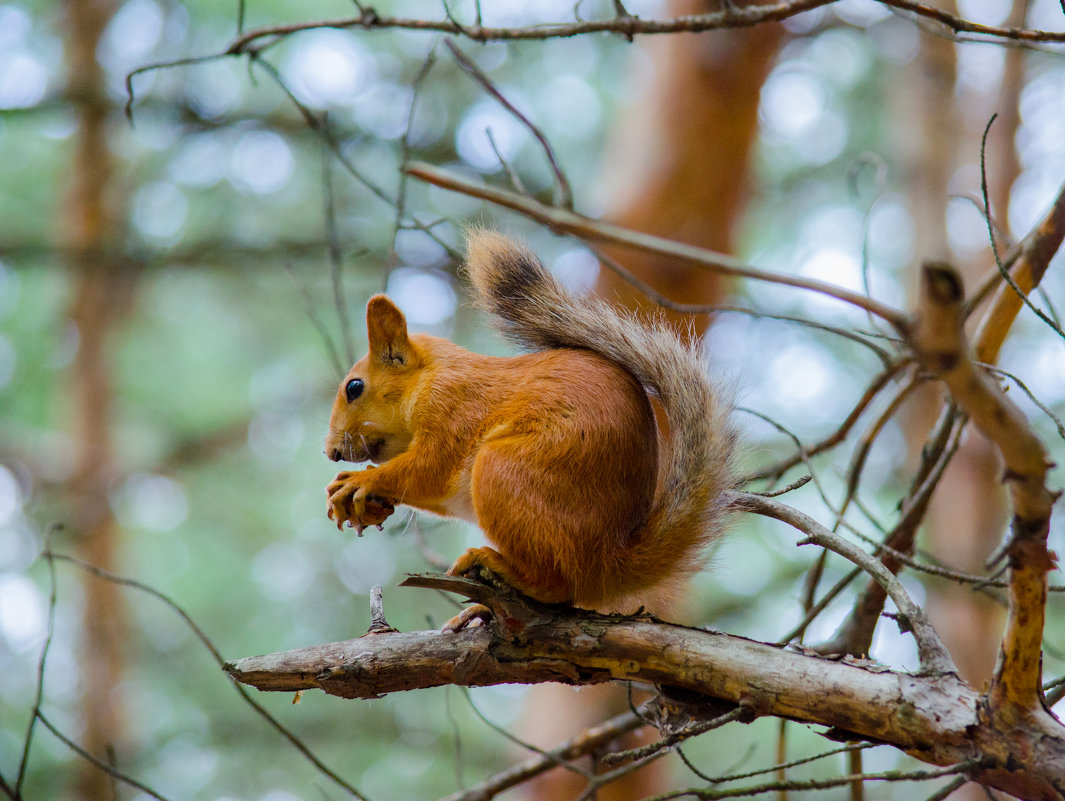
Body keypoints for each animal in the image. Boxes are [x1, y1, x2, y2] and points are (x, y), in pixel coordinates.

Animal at [323, 231, 736, 626]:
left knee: (556, 583)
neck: (428, 378)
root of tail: (607, 562)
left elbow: (431, 470)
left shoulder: (453, 410)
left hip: (504, 470)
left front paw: (362, 481)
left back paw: (501, 568)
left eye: (355, 387)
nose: (331, 451)